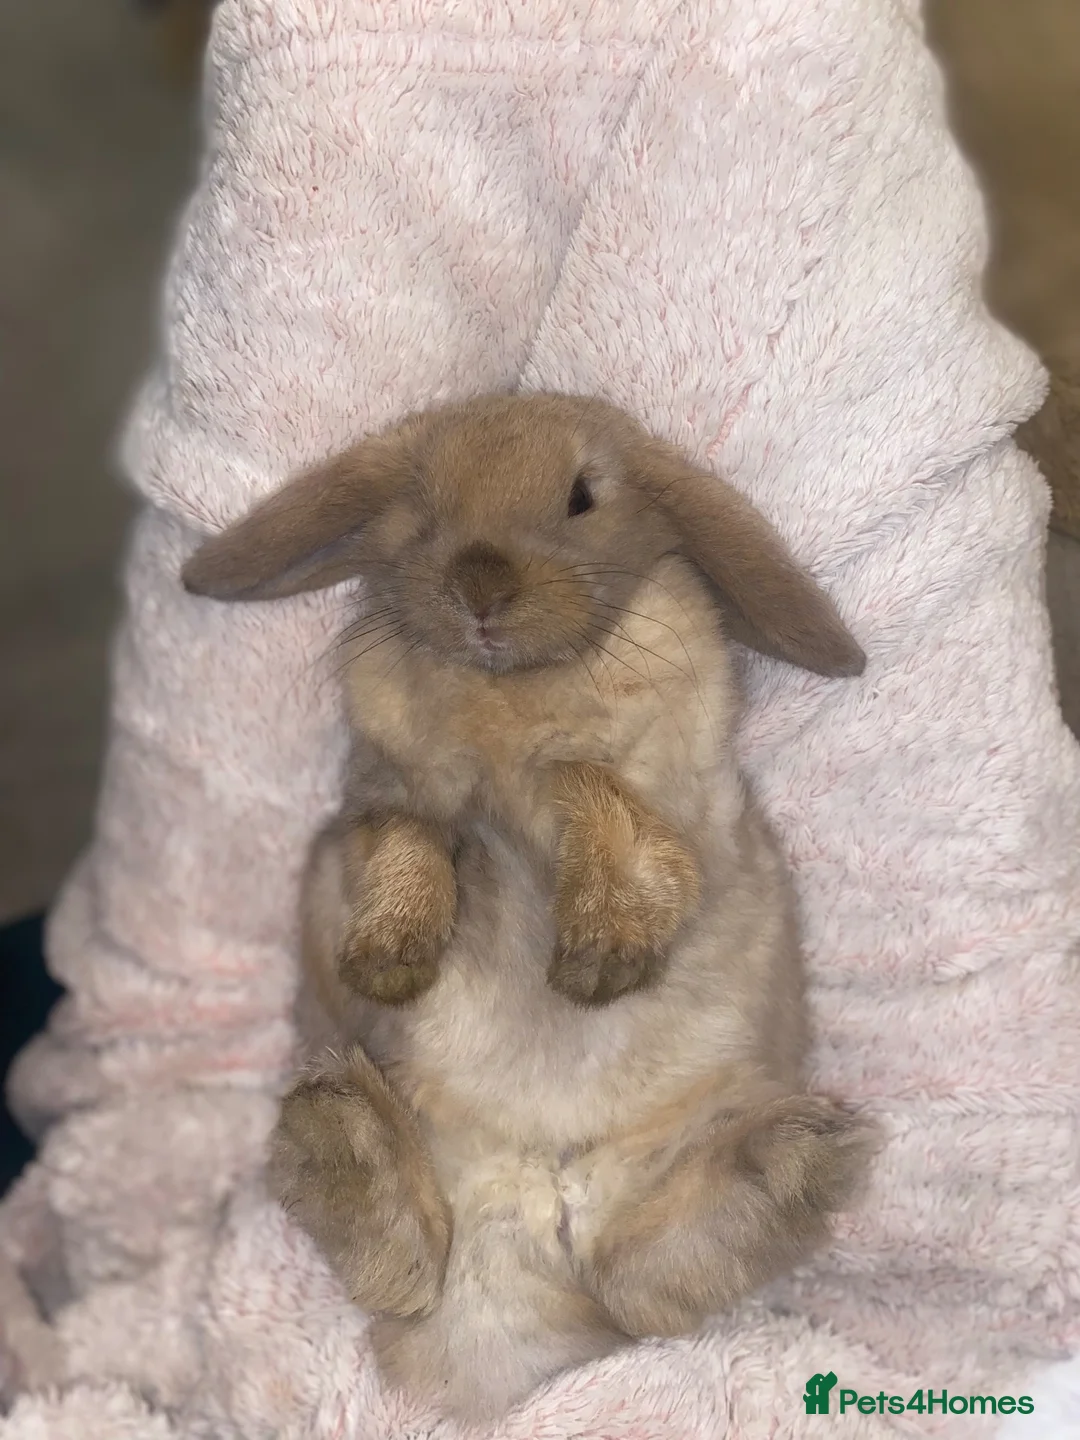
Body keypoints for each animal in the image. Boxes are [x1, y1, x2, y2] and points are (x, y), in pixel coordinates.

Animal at [182, 392, 879, 1423]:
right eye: (422, 501)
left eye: (583, 495)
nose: (481, 586)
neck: (505, 694)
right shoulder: (379, 803)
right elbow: (417, 838)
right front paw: (390, 962)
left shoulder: (674, 799)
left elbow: (593, 789)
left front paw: (597, 963)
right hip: (433, 1185)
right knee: (419, 1266)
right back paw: (338, 1128)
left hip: (670, 1161)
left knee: (639, 1283)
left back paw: (802, 1157)